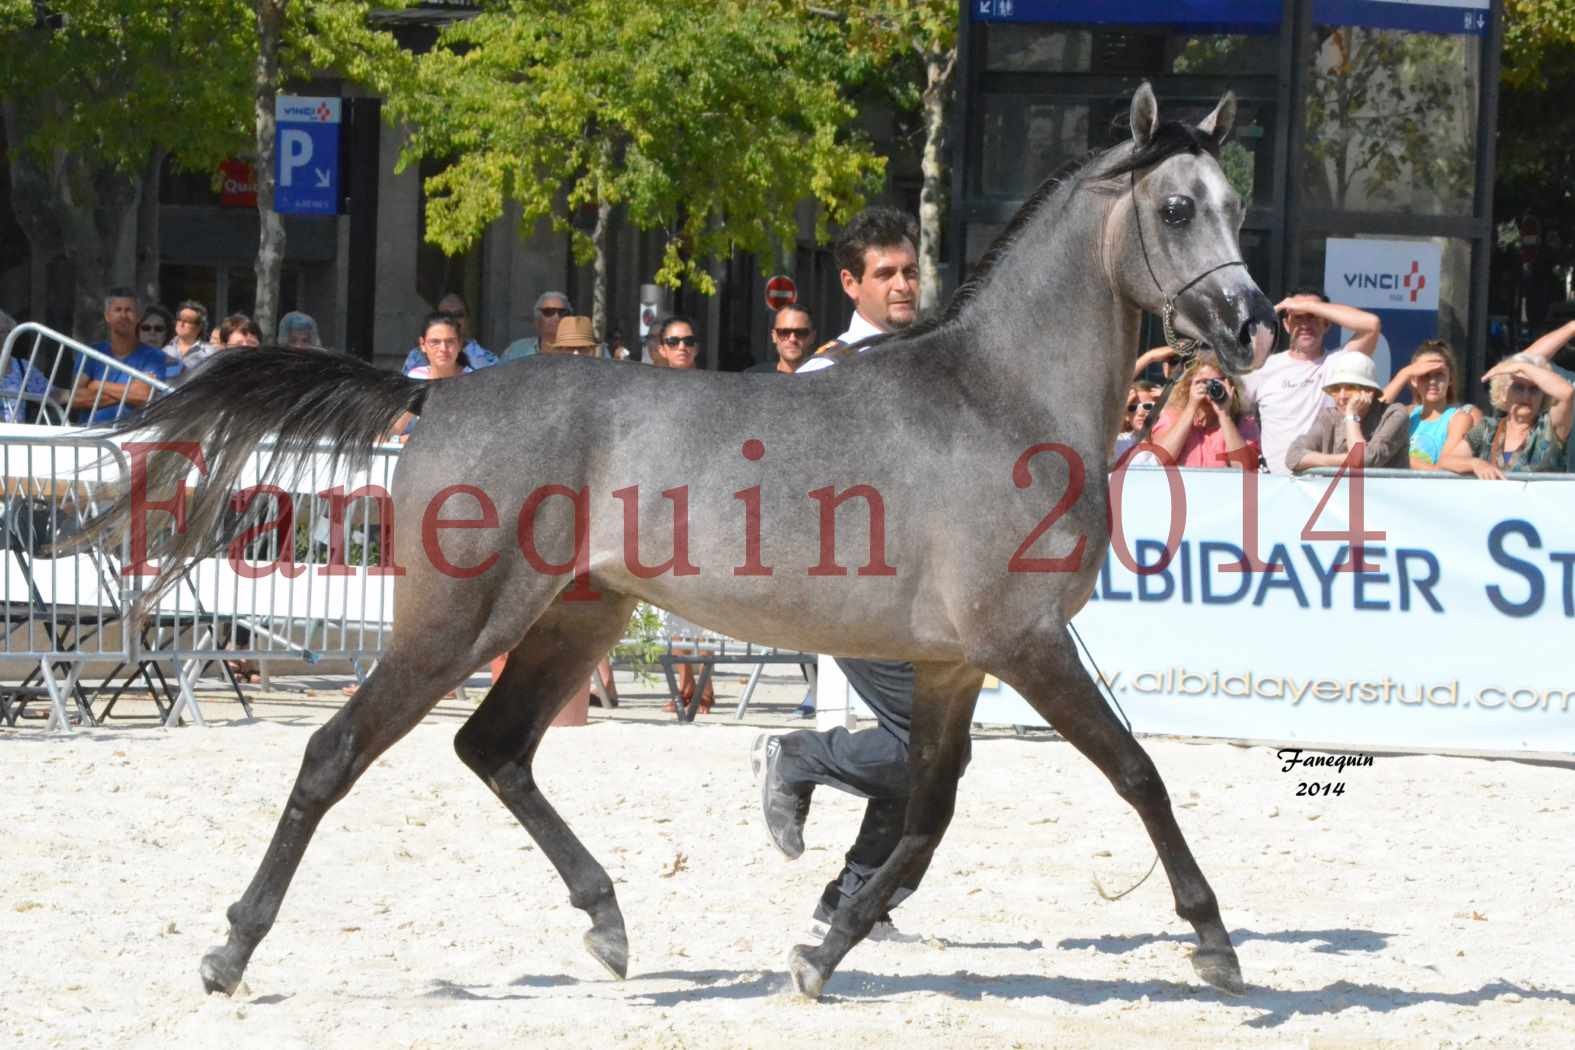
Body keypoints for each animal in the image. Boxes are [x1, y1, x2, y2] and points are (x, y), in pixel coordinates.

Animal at [92, 88, 1278, 1001]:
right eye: (1177, 206)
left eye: (1239, 205)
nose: (1252, 327)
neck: (997, 398)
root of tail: (437, 393)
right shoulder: (1026, 644)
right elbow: (1137, 774)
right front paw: (1214, 944)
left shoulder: (953, 663)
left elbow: (925, 816)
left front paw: (820, 956)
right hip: (457, 620)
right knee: (336, 754)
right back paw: (230, 951)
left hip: (579, 615)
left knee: (495, 748)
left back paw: (609, 924)